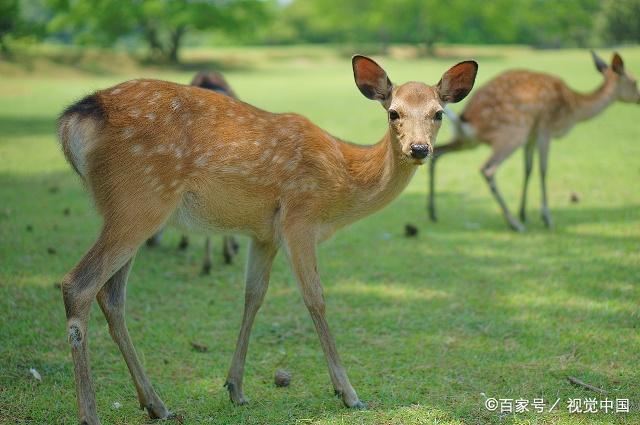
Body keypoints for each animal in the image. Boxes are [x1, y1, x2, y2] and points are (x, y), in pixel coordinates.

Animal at [428, 52, 636, 232]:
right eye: (635, 81)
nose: (639, 98)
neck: (573, 109)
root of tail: (466, 119)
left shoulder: (532, 135)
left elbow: (527, 168)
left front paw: (524, 213)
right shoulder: (545, 127)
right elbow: (543, 168)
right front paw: (546, 218)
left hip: (468, 141)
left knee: (437, 153)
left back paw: (433, 213)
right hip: (512, 132)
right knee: (488, 168)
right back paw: (514, 224)